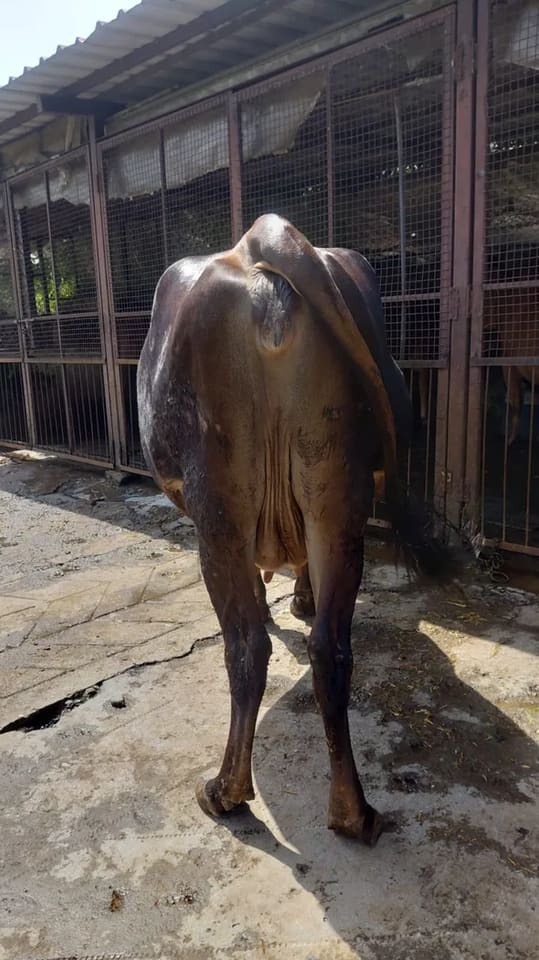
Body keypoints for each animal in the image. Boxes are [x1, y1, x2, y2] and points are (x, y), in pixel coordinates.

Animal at [137, 214, 448, 846]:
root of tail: (258, 243)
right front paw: (300, 599)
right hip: (335, 489)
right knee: (331, 648)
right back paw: (353, 813)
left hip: (220, 512)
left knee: (246, 646)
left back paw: (224, 792)